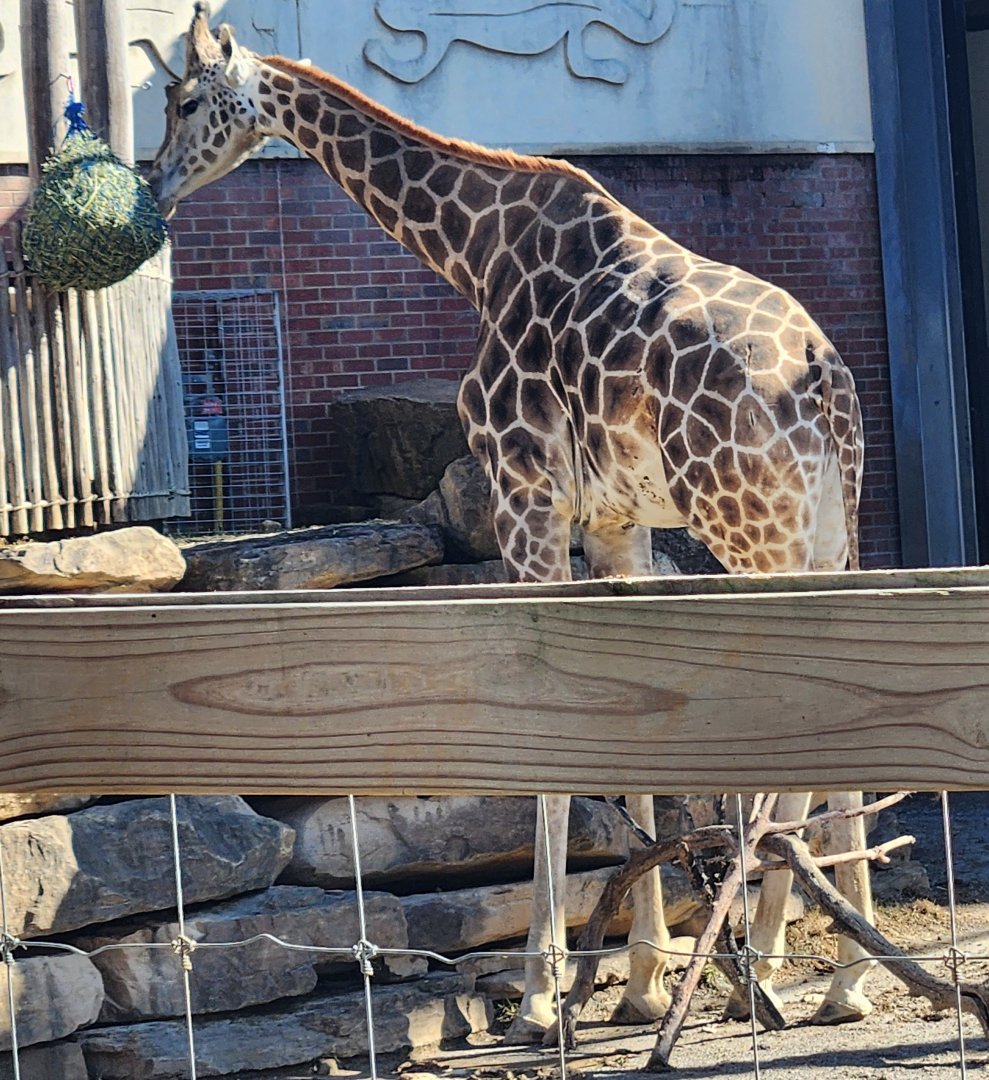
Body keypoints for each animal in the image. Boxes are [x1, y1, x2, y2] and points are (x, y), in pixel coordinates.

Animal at [149, 3, 874, 1042]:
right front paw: (640, 976)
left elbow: (548, 750)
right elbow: (622, 748)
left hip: (750, 531)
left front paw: (540, 990)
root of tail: (823, 377)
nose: (154, 180)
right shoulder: (614, 524)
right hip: (822, 530)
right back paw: (836, 975)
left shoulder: (526, 499)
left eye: (183, 99)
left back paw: (765, 965)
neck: (477, 252)